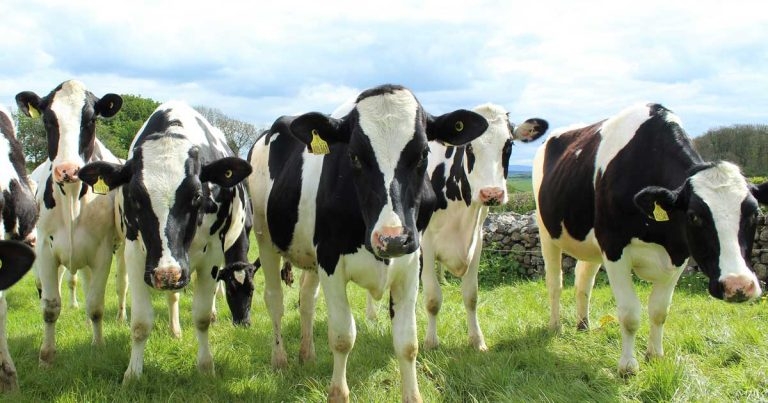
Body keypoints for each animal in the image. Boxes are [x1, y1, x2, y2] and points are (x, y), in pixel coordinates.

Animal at [16, 80, 123, 367]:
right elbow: (51, 306)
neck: (73, 198)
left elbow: (96, 305)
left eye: (91, 119)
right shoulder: (44, 249)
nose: (67, 170)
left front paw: (98, 345)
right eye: (48, 120)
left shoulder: (103, 251)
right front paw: (46, 356)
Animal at [77, 100, 253, 383]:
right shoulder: (137, 256)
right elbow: (140, 322)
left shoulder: (213, 256)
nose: (167, 273)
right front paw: (132, 374)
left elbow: (202, 316)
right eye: (135, 197)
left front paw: (206, 367)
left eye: (196, 195)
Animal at [248, 84, 489, 402]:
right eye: (354, 156)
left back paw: (307, 354)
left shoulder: (411, 263)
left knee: (307, 299)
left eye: (423, 153)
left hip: (310, 256)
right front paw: (337, 394)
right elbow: (342, 337)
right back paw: (280, 359)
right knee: (274, 299)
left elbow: (407, 342)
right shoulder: (331, 261)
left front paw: (412, 395)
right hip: (265, 237)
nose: (392, 238)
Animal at [415, 103, 547, 351]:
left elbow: (471, 295)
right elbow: (432, 298)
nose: (491, 193)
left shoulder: (476, 240)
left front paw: (477, 341)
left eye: (509, 144)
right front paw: (430, 343)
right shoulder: (425, 244)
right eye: (468, 146)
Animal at [532, 102, 767, 376]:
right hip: (547, 232)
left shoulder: (679, 254)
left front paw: (655, 356)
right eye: (694, 216)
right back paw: (555, 326)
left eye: (755, 214)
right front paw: (627, 366)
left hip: (590, 243)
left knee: (583, 280)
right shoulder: (614, 247)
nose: (738, 285)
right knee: (555, 283)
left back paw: (583, 325)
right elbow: (630, 313)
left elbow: (659, 310)